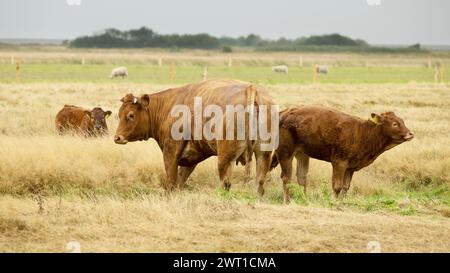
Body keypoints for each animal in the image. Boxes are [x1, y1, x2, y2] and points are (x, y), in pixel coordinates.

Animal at [114, 78, 276, 193]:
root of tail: (251, 88)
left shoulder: (170, 152)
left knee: (225, 183)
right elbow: (180, 182)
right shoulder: (191, 158)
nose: (117, 138)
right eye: (119, 114)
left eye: (131, 115)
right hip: (263, 155)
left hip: (225, 158)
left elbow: (170, 182)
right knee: (259, 183)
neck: (168, 106)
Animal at [272, 105, 414, 201]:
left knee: (301, 176)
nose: (410, 134)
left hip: (302, 153)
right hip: (285, 153)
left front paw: (342, 202)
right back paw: (287, 201)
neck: (362, 133)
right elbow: (337, 186)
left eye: (402, 121)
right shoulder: (339, 162)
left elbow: (346, 187)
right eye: (394, 123)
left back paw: (304, 198)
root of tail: (284, 113)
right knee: (286, 177)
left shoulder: (350, 167)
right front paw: (334, 202)